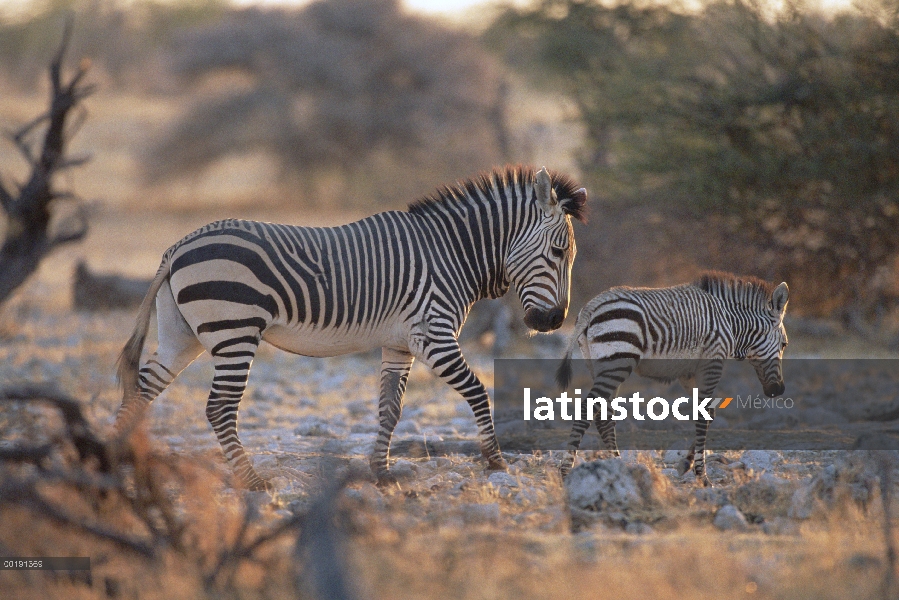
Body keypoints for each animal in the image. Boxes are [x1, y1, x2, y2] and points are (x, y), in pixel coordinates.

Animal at [114, 166, 592, 490]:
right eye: (558, 251)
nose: (553, 322)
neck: (452, 253)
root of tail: (177, 247)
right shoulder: (432, 334)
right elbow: (477, 390)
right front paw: (495, 462)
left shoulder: (400, 344)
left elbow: (389, 408)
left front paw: (381, 472)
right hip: (235, 331)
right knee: (218, 408)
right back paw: (253, 482)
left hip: (181, 336)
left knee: (140, 390)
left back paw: (112, 462)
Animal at [556, 270, 788, 486]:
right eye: (784, 344)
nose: (778, 390)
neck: (731, 323)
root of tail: (591, 307)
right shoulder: (712, 361)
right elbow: (704, 414)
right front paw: (702, 476)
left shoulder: (689, 372)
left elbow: (707, 412)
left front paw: (685, 464)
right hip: (617, 363)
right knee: (587, 409)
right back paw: (566, 472)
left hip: (603, 366)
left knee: (604, 416)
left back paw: (619, 466)